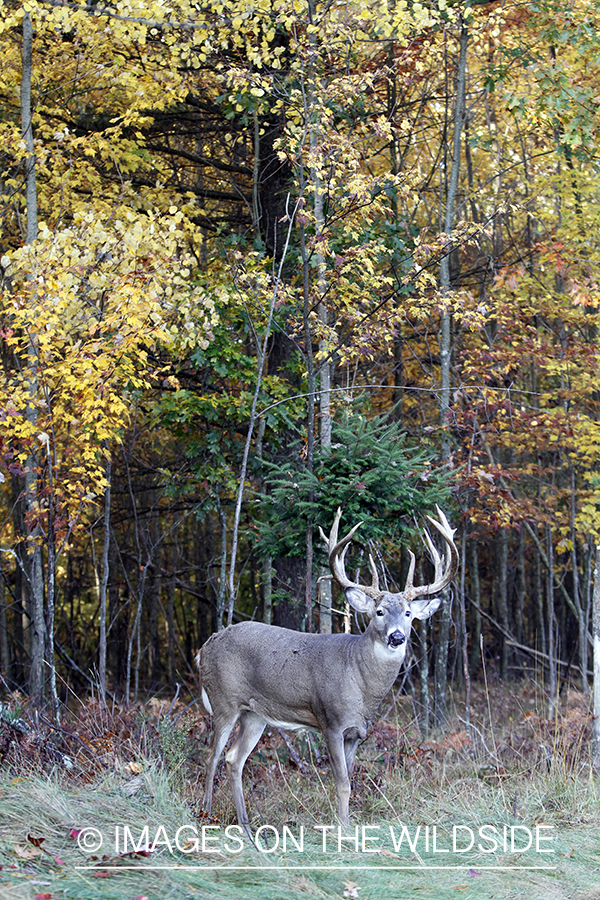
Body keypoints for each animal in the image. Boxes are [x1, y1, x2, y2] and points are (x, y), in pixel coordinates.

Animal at [199, 502, 458, 828]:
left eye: (409, 613)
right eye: (379, 612)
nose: (397, 636)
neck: (360, 683)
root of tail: (204, 647)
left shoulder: (357, 732)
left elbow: (349, 779)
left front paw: (346, 823)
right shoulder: (330, 721)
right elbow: (342, 782)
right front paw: (343, 828)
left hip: (254, 714)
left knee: (234, 759)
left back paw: (245, 823)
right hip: (224, 700)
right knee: (211, 755)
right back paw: (205, 814)